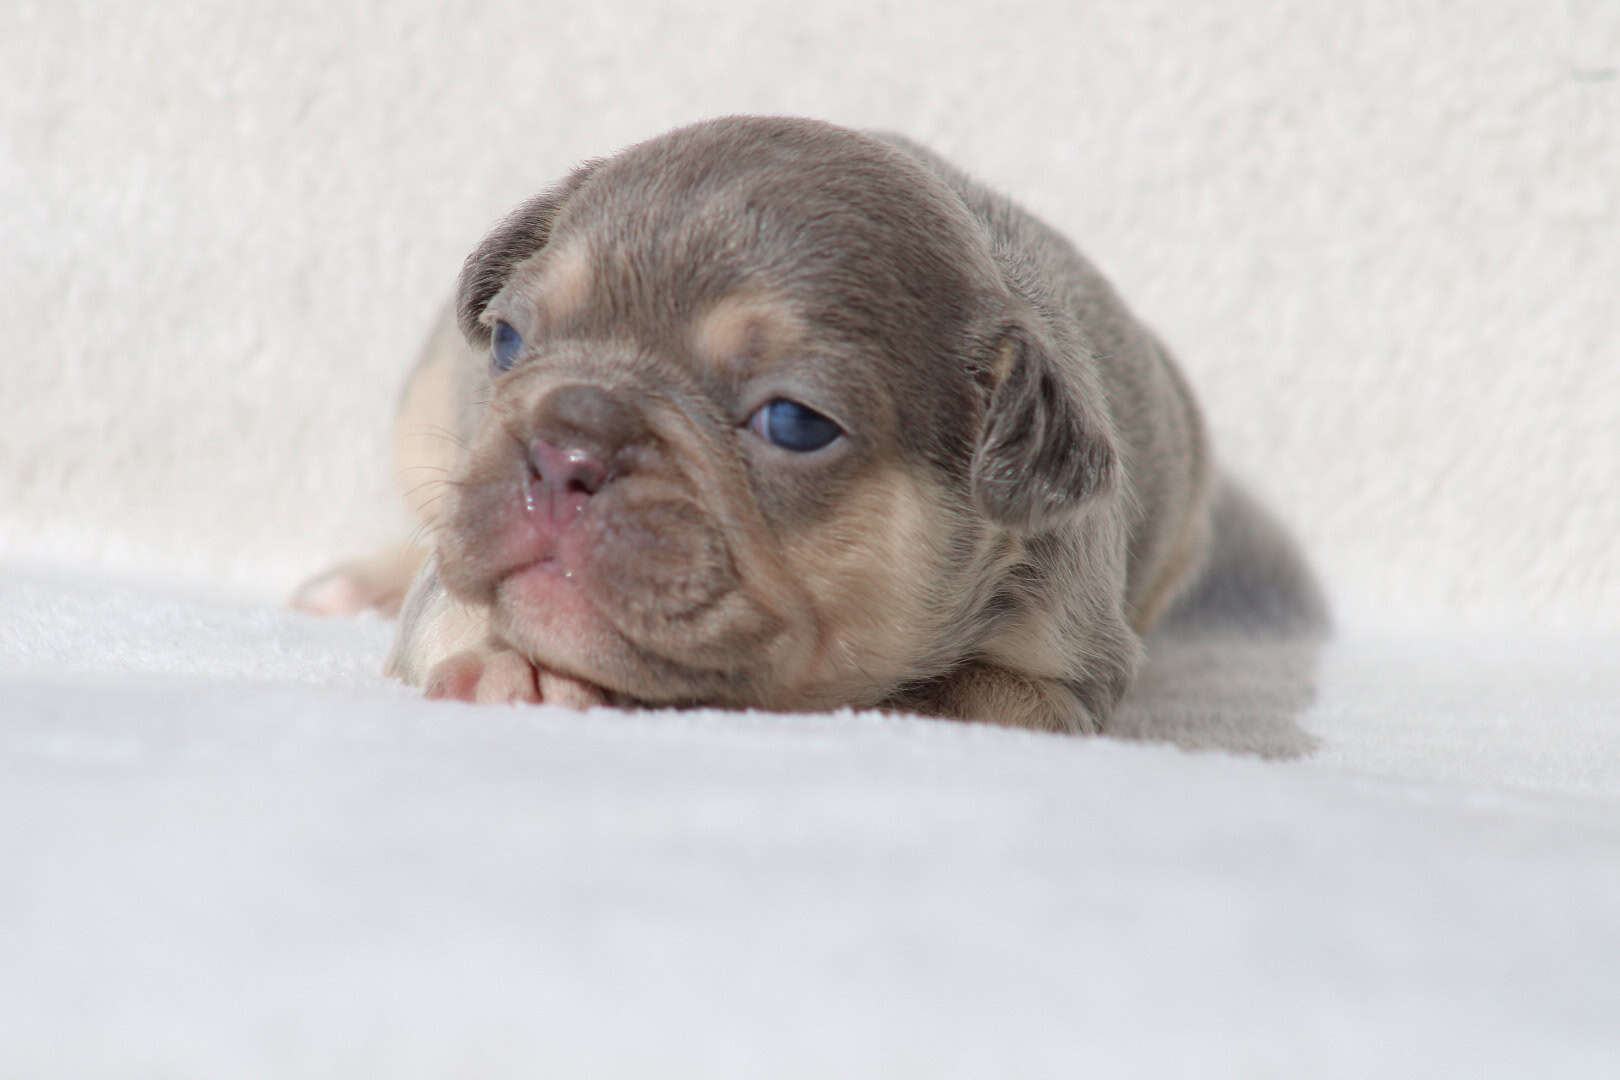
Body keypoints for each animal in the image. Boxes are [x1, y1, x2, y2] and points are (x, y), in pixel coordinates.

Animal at [298, 116, 1231, 735]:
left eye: (793, 423)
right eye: (508, 341)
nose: (566, 449)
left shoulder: (1064, 667)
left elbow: (968, 694)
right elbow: (451, 609)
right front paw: (512, 665)